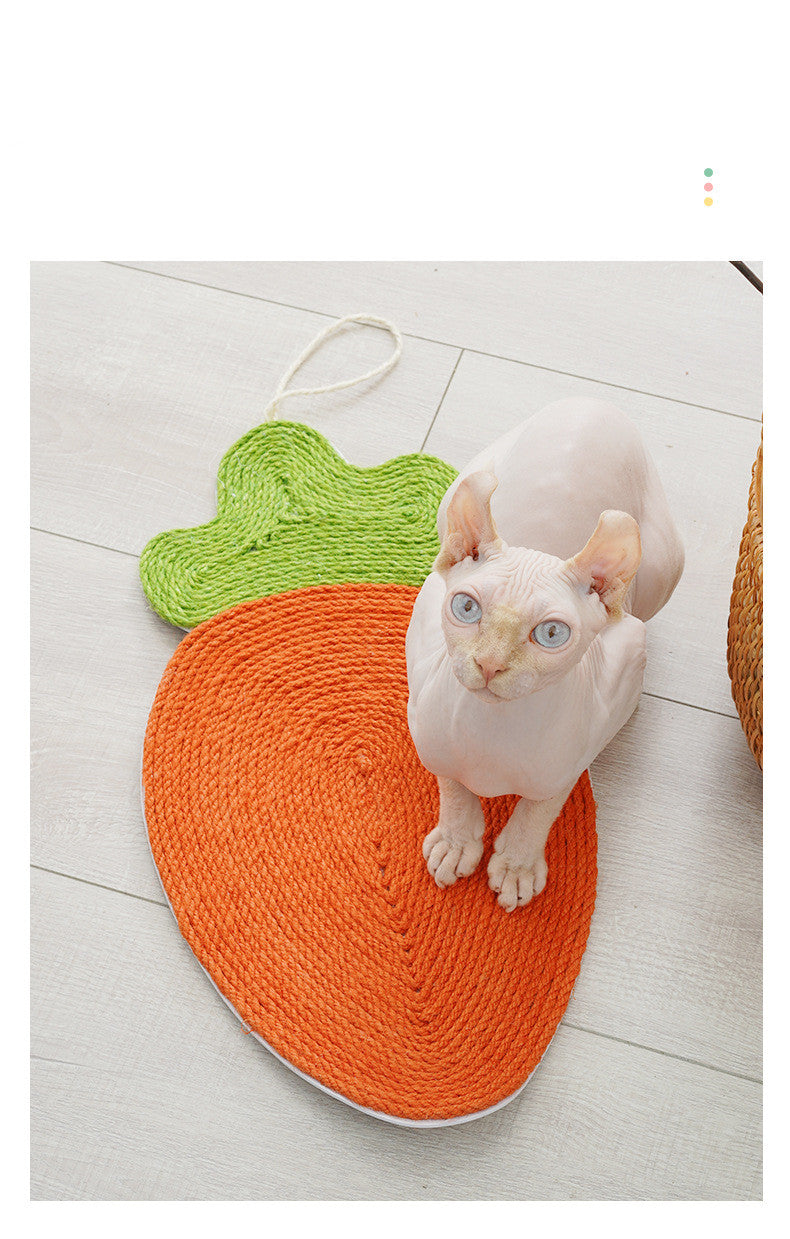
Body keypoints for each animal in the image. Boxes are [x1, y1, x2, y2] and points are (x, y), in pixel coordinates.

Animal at [406, 396, 683, 911]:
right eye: (466, 607)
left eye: (551, 633)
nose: (489, 664)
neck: (493, 730)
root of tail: (594, 400)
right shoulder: (423, 659)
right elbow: (449, 778)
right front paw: (456, 839)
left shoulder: (624, 661)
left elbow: (546, 799)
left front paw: (516, 864)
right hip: (455, 492)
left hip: (664, 568)